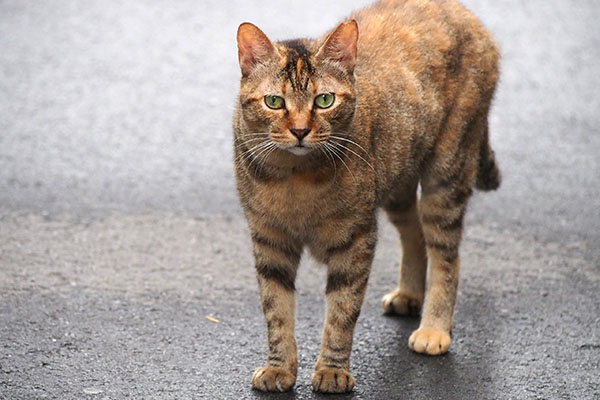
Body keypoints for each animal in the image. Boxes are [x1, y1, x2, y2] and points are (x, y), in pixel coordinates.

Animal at [232, 0, 500, 394]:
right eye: (275, 102)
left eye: (324, 100)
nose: (300, 131)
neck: (295, 178)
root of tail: (462, 10)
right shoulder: (269, 241)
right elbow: (276, 310)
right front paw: (279, 368)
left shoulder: (355, 240)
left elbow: (341, 312)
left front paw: (332, 370)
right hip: (397, 178)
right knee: (414, 232)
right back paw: (409, 294)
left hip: (447, 172)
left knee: (446, 254)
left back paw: (434, 328)